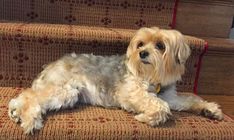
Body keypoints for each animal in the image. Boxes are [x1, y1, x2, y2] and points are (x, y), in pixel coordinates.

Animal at [7, 26, 223, 134]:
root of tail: (52, 64)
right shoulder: (132, 92)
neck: (152, 77)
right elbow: (161, 106)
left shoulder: (171, 96)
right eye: (140, 44)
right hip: (65, 90)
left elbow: (190, 99)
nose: (142, 53)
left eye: (161, 45)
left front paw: (210, 109)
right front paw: (146, 117)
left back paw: (15, 113)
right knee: (29, 96)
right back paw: (29, 119)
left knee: (24, 97)